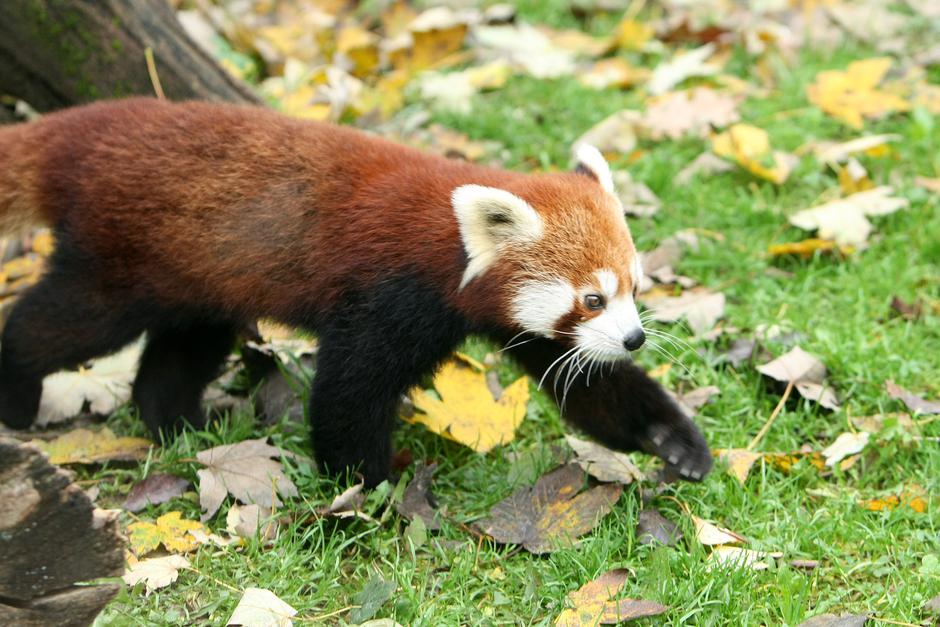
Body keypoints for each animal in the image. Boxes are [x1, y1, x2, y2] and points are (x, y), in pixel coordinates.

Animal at [0, 98, 708, 486]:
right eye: (592, 299)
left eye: (633, 288)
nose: (634, 337)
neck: (446, 245)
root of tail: (92, 125)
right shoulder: (386, 295)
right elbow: (349, 393)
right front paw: (369, 493)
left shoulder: (516, 322)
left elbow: (590, 384)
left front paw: (674, 441)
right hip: (121, 259)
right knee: (64, 322)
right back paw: (17, 395)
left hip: (199, 271)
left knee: (184, 346)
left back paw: (178, 422)